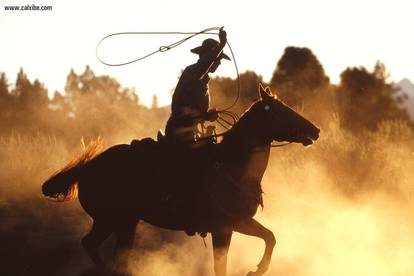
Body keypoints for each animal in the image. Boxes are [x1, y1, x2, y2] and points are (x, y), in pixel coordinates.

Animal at [42, 85, 320, 274]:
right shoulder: (223, 227)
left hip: (125, 223)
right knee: (92, 245)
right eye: (282, 111)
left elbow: (270, 237)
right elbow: (222, 265)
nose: (315, 130)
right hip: (110, 220)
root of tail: (88, 167)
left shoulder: (240, 223)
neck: (233, 166)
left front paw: (257, 269)